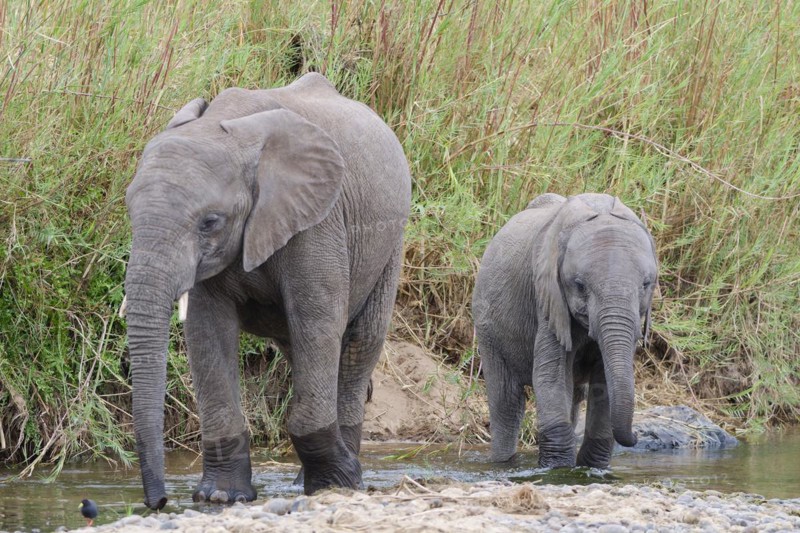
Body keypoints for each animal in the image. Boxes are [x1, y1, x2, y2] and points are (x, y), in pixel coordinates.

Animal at [121, 73, 411, 510]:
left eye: (210, 222)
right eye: (129, 212)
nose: (157, 503)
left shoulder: (318, 222)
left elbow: (318, 321)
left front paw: (338, 482)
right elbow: (206, 332)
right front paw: (220, 496)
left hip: (391, 241)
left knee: (359, 342)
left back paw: (340, 476)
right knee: (298, 348)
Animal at [472, 193, 658, 469]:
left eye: (646, 284)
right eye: (579, 285)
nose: (636, 436)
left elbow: (603, 380)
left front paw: (592, 468)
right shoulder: (548, 299)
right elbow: (550, 376)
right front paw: (558, 469)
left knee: (575, 396)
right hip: (487, 327)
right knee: (507, 401)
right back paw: (503, 463)